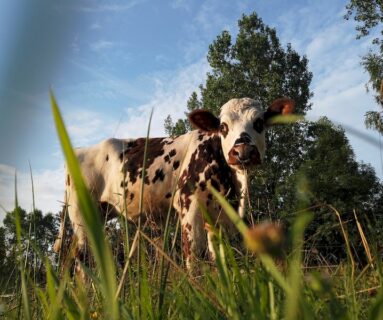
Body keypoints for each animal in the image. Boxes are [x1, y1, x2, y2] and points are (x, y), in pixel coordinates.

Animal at [53, 97, 294, 270]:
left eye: (259, 123)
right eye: (223, 126)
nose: (242, 151)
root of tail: (79, 150)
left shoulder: (221, 217)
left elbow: (220, 257)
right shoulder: (190, 207)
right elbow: (194, 257)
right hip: (82, 216)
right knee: (83, 259)